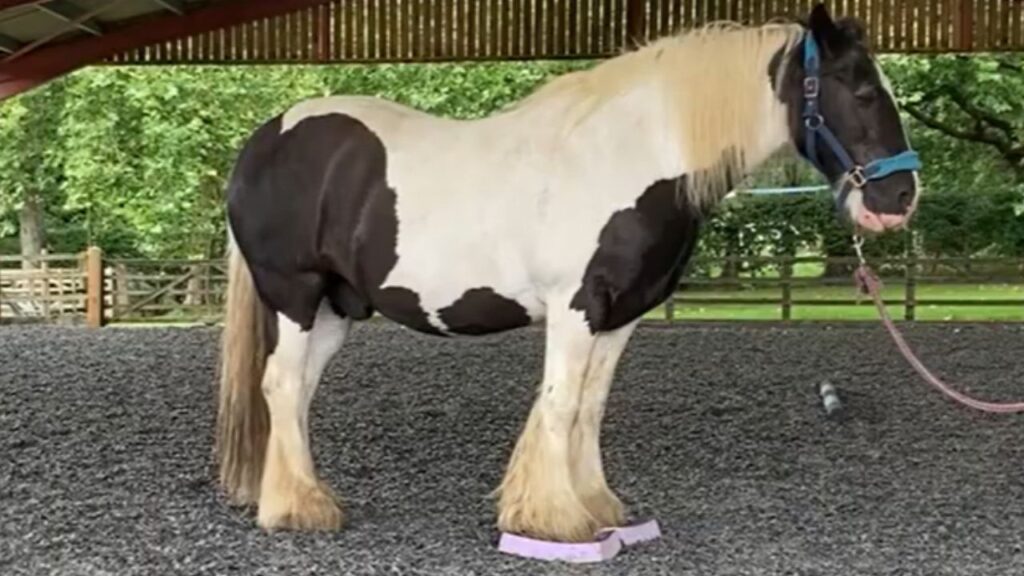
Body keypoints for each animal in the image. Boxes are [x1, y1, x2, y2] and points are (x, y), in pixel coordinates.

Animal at [215, 3, 921, 543]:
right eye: (862, 90)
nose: (899, 200)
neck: (633, 156)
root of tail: (265, 141)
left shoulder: (619, 316)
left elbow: (589, 407)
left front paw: (597, 505)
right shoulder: (576, 306)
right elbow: (559, 403)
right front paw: (554, 519)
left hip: (335, 310)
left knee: (294, 392)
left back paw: (293, 493)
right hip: (295, 297)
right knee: (281, 384)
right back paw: (300, 510)